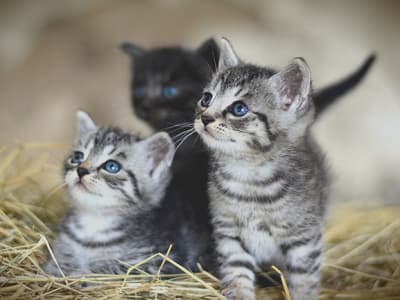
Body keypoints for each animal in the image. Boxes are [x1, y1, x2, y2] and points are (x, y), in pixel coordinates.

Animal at [44, 112, 205, 276]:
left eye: (112, 166)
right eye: (77, 157)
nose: (81, 170)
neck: (94, 222)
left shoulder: (162, 261)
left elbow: (109, 269)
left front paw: (81, 273)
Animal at [194, 38, 328, 300]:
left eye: (239, 109)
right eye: (206, 99)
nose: (205, 118)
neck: (248, 175)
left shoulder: (304, 238)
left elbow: (304, 281)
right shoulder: (228, 232)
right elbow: (237, 272)